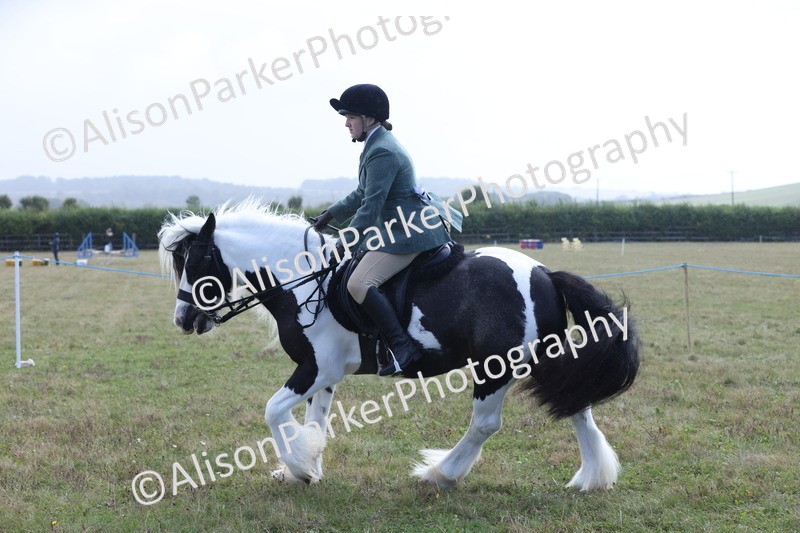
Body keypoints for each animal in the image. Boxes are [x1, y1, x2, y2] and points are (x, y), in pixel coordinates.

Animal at [158, 199, 640, 491]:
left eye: (197, 263)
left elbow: (273, 411)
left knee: (486, 424)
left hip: (496, 367)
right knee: (577, 406)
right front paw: (308, 465)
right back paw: (591, 478)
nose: (183, 320)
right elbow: (315, 421)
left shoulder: (316, 368)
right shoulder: (327, 376)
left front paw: (298, 466)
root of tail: (545, 274)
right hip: (545, 359)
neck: (306, 279)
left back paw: (439, 473)